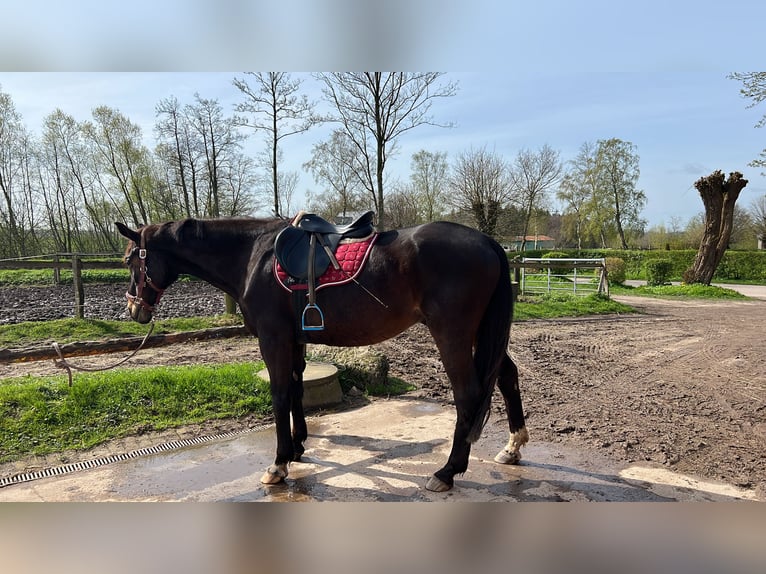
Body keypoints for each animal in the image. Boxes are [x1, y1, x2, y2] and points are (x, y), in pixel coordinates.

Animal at [118, 216, 528, 496]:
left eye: (130, 261)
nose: (134, 310)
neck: (253, 258)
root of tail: (487, 242)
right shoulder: (295, 339)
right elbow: (297, 388)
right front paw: (298, 446)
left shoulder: (273, 339)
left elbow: (280, 394)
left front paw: (279, 464)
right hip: (481, 334)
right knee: (506, 375)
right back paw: (512, 447)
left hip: (453, 335)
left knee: (468, 393)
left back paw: (447, 471)